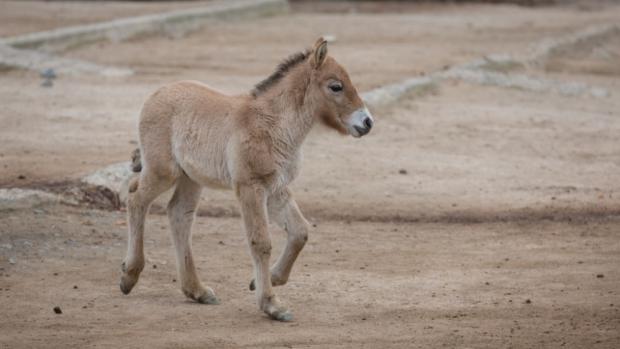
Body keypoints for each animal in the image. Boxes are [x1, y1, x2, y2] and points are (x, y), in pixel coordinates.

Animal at [120, 38, 372, 320]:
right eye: (335, 86)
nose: (367, 122)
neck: (273, 126)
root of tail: (156, 92)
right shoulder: (250, 187)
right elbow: (261, 241)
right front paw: (272, 305)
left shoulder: (276, 189)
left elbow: (300, 232)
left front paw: (270, 279)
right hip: (164, 172)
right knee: (136, 199)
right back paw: (129, 276)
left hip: (191, 178)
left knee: (179, 214)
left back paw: (197, 291)